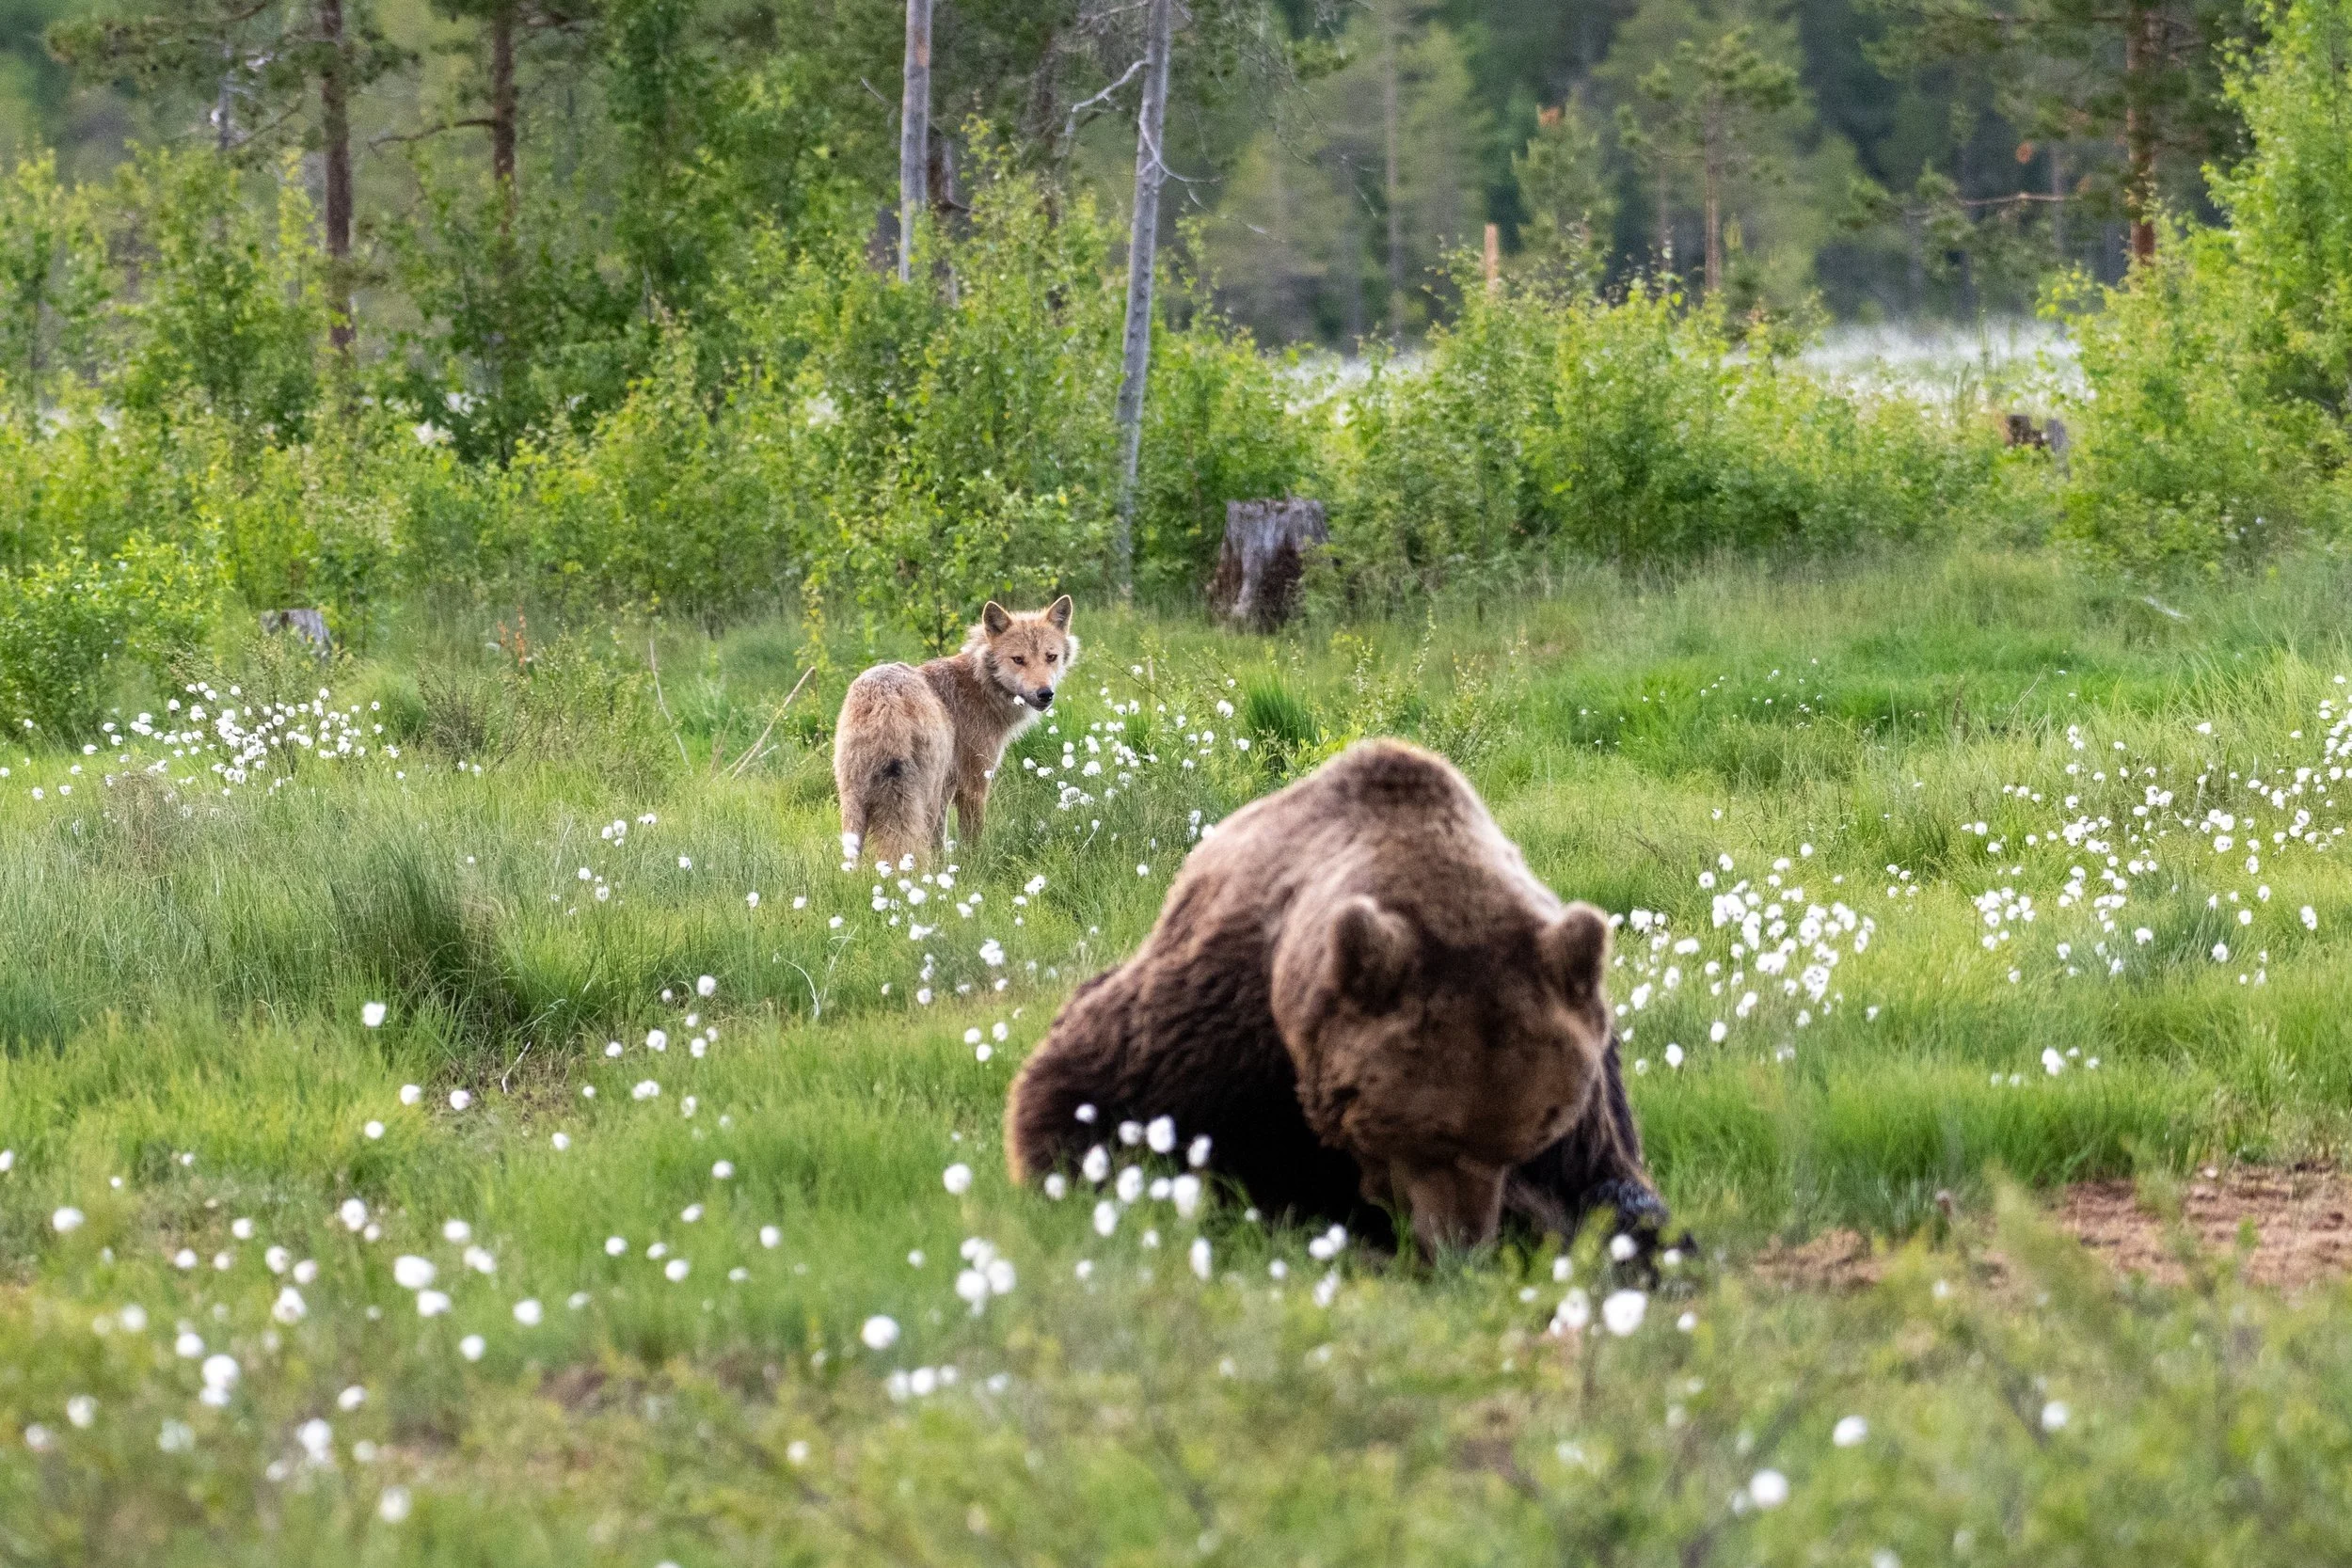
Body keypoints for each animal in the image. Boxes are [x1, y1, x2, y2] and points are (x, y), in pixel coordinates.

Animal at [832, 597, 1077, 867]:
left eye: (1050, 657)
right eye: (1018, 659)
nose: (1045, 693)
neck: (980, 684)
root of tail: (885, 701)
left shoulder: (947, 791)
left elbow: (939, 844)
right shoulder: (973, 786)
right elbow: (970, 841)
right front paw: (973, 866)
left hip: (853, 809)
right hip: (922, 801)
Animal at [1004, 737, 1667, 1253]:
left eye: (1532, 1135)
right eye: (1430, 1136)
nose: (1459, 1244)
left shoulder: (1592, 1087)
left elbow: (1612, 1189)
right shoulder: (1222, 1020)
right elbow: (1083, 1093)